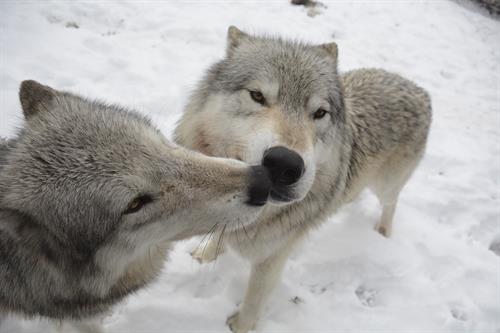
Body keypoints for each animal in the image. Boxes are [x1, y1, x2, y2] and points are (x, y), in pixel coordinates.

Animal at [174, 26, 432, 332]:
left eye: (319, 113)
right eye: (257, 95)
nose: (284, 164)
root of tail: (417, 88)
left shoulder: (273, 257)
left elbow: (254, 298)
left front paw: (239, 326)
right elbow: (220, 235)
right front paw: (206, 254)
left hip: (386, 185)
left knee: (391, 203)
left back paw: (383, 230)